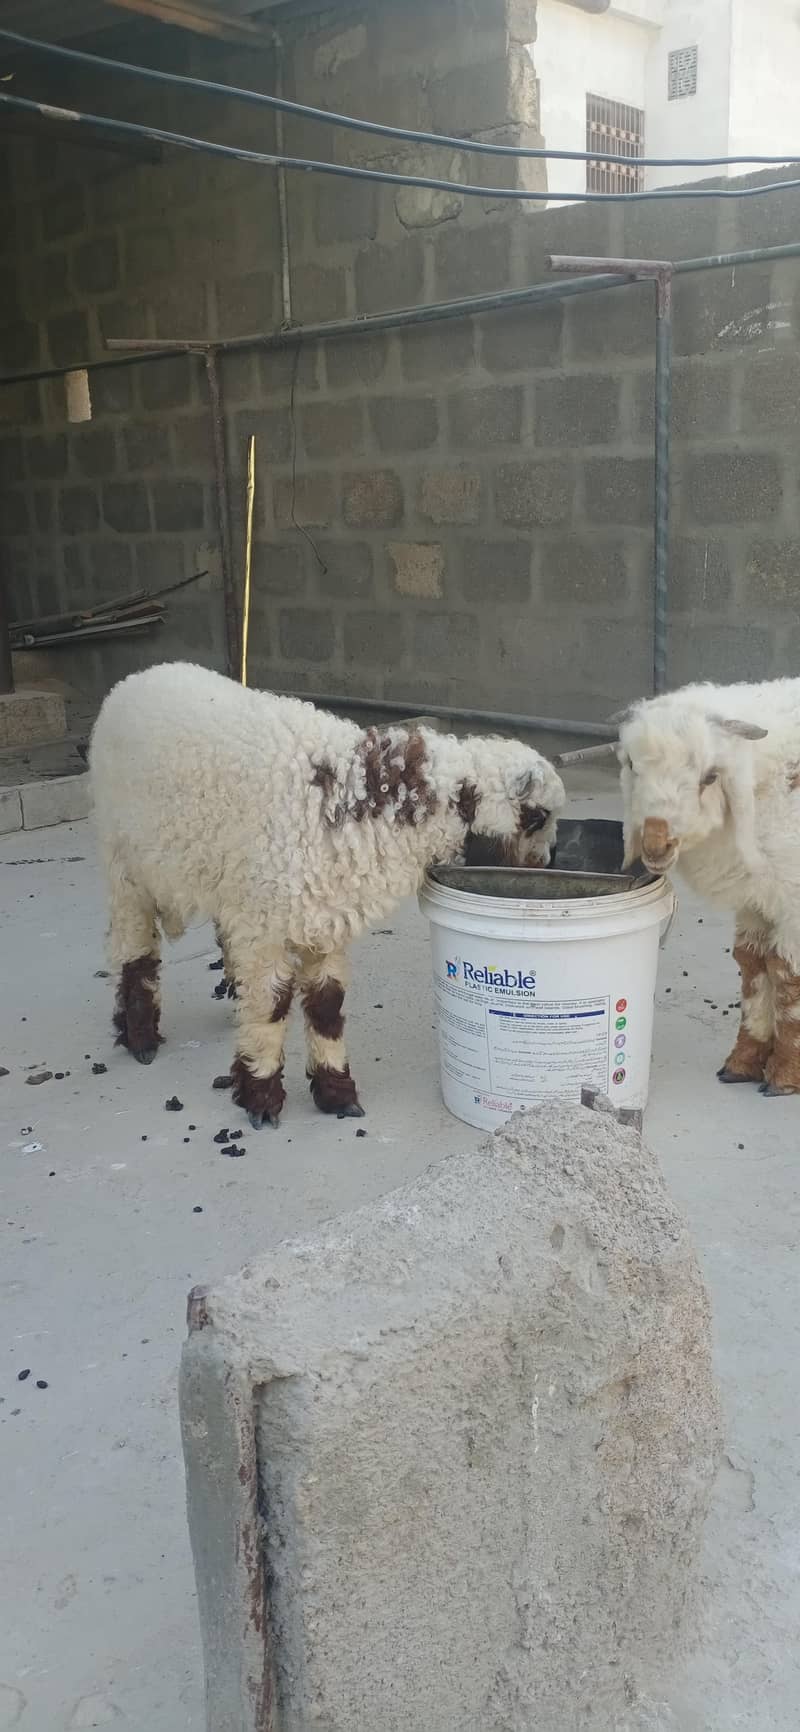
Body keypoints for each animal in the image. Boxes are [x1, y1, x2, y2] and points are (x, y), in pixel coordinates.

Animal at [89, 663, 566, 1127]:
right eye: (537, 816)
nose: (546, 865)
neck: (356, 799)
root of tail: (136, 678)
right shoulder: (268, 921)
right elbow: (273, 1005)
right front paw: (261, 1098)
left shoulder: (321, 915)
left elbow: (326, 1004)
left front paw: (337, 1094)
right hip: (123, 860)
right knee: (135, 948)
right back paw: (140, 1038)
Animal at [616, 676, 800, 1096]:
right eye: (632, 765)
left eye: (710, 777)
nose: (656, 845)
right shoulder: (757, 900)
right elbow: (753, 965)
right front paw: (743, 1064)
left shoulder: (794, 902)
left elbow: (787, 975)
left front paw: (784, 1075)